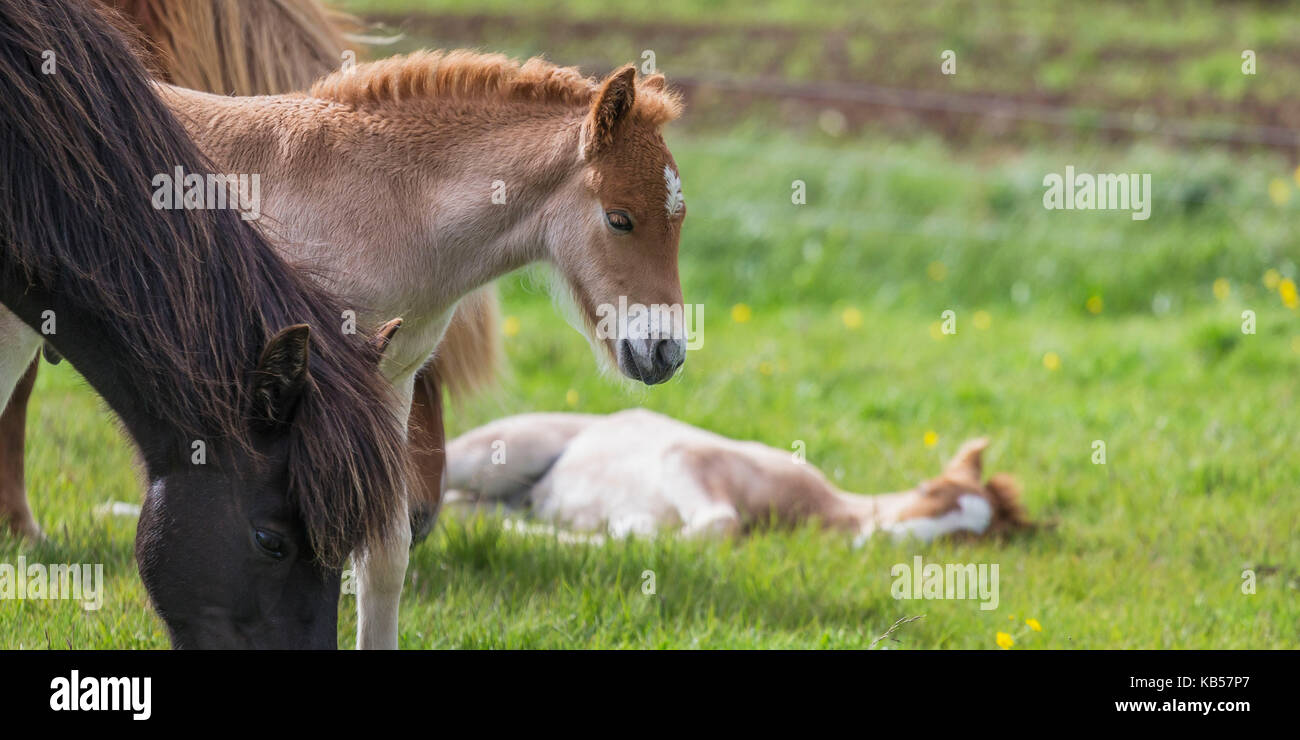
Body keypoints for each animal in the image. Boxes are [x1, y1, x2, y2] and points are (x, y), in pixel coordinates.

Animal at [157, 52, 696, 645]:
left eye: (679, 220)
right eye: (619, 218)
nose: (668, 352)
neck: (378, 202)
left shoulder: (390, 379)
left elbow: (385, 552)